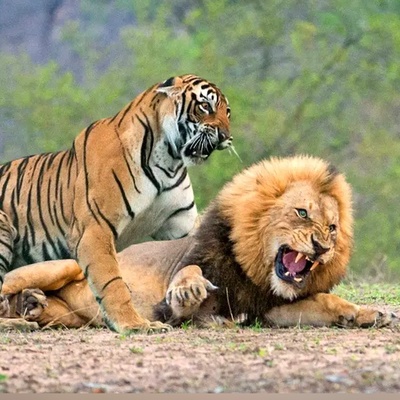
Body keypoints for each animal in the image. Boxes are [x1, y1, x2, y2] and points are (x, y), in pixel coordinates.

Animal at [0, 74, 232, 334]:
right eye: (205, 106)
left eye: (228, 111)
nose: (225, 136)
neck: (168, 160)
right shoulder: (95, 229)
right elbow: (112, 283)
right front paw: (135, 324)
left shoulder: (182, 225)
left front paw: (191, 285)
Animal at [0, 155, 394, 330]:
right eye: (301, 213)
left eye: (332, 228)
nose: (323, 247)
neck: (254, 269)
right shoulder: (176, 295)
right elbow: (188, 277)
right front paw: (189, 291)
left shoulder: (267, 308)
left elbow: (326, 302)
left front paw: (368, 313)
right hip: (59, 266)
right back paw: (21, 312)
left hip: (70, 315)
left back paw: (30, 306)